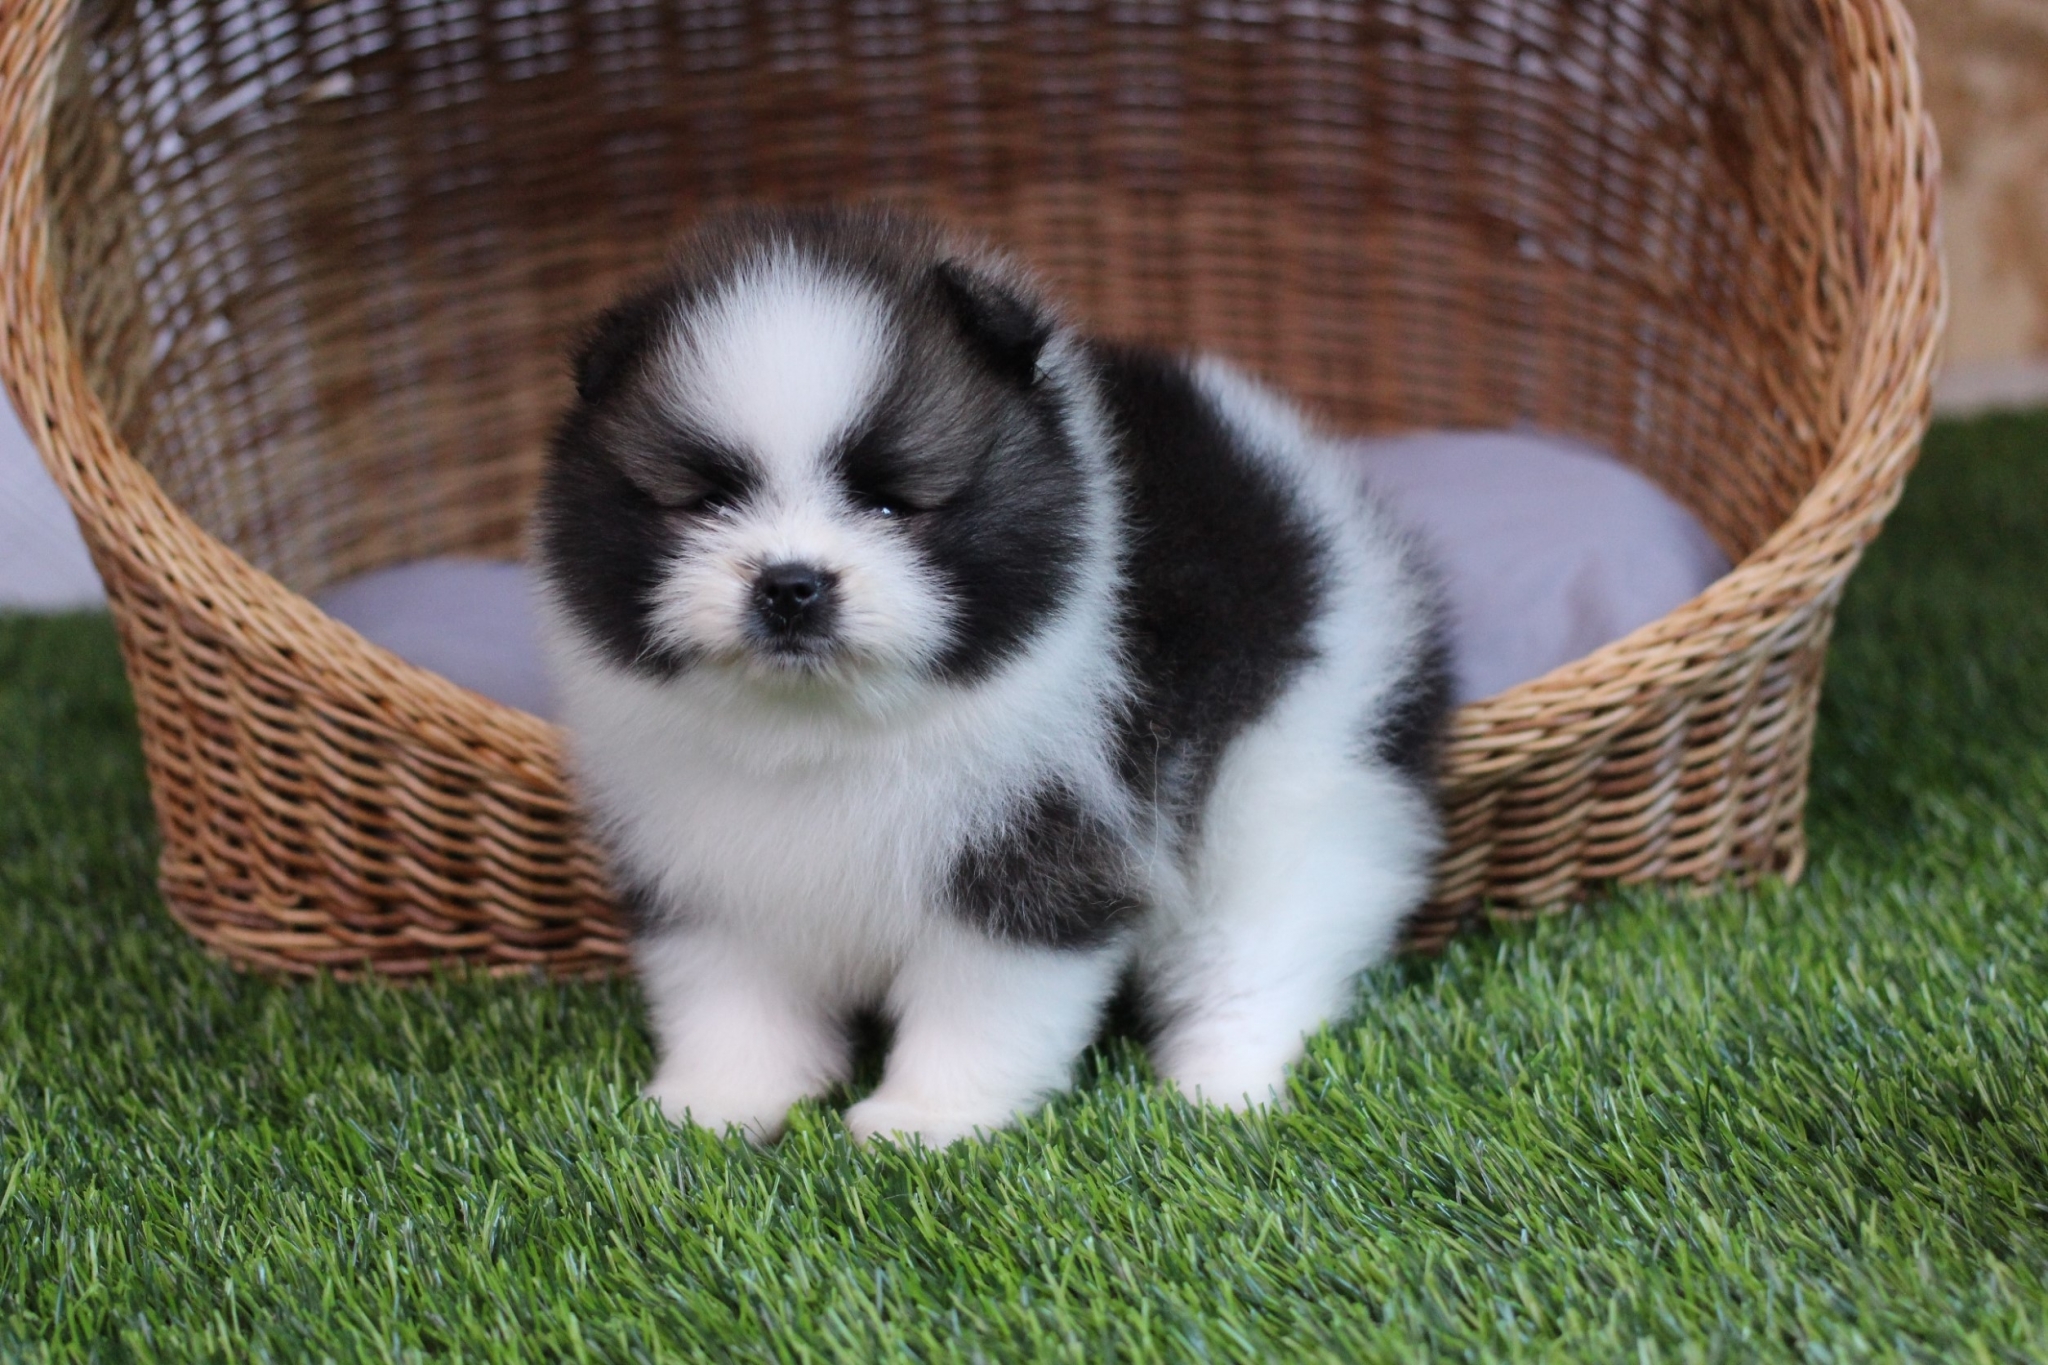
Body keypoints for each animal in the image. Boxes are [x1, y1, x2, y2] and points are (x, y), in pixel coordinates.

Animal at [533, 206, 1451, 1146]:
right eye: (707, 502)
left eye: (892, 504)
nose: (790, 583)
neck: (822, 728)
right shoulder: (706, 869)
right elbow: (732, 996)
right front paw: (713, 1104)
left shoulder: (1036, 849)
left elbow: (980, 1001)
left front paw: (925, 1120)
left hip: (1294, 768)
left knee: (1265, 941)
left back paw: (1220, 1085)